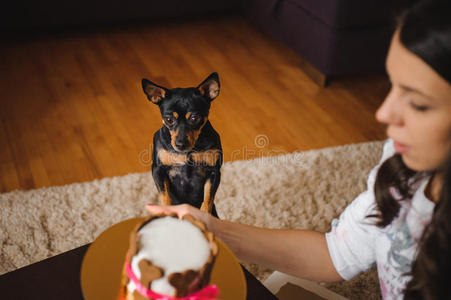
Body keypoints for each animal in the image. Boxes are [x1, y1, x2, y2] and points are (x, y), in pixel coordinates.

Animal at [143, 72, 222, 218]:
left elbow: (208, 199)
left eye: (194, 118)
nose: (180, 144)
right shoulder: (158, 170)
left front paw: (203, 214)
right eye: (169, 119)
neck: (188, 152)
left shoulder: (214, 172)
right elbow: (165, 197)